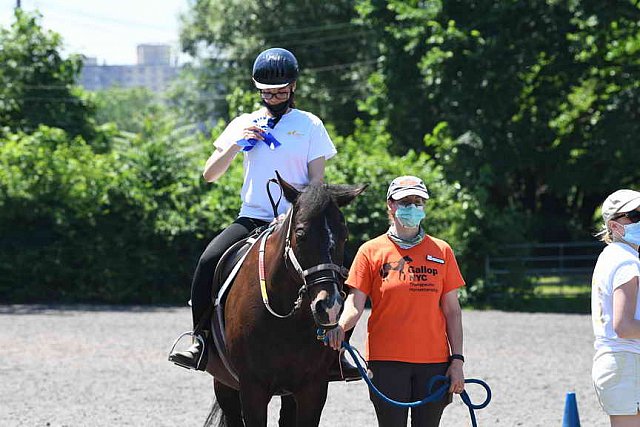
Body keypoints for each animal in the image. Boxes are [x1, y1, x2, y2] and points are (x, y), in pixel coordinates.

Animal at [202, 175, 368, 427]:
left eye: (344, 235)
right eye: (300, 234)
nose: (330, 307)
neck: (285, 315)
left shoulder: (313, 388)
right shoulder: (252, 388)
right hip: (224, 384)